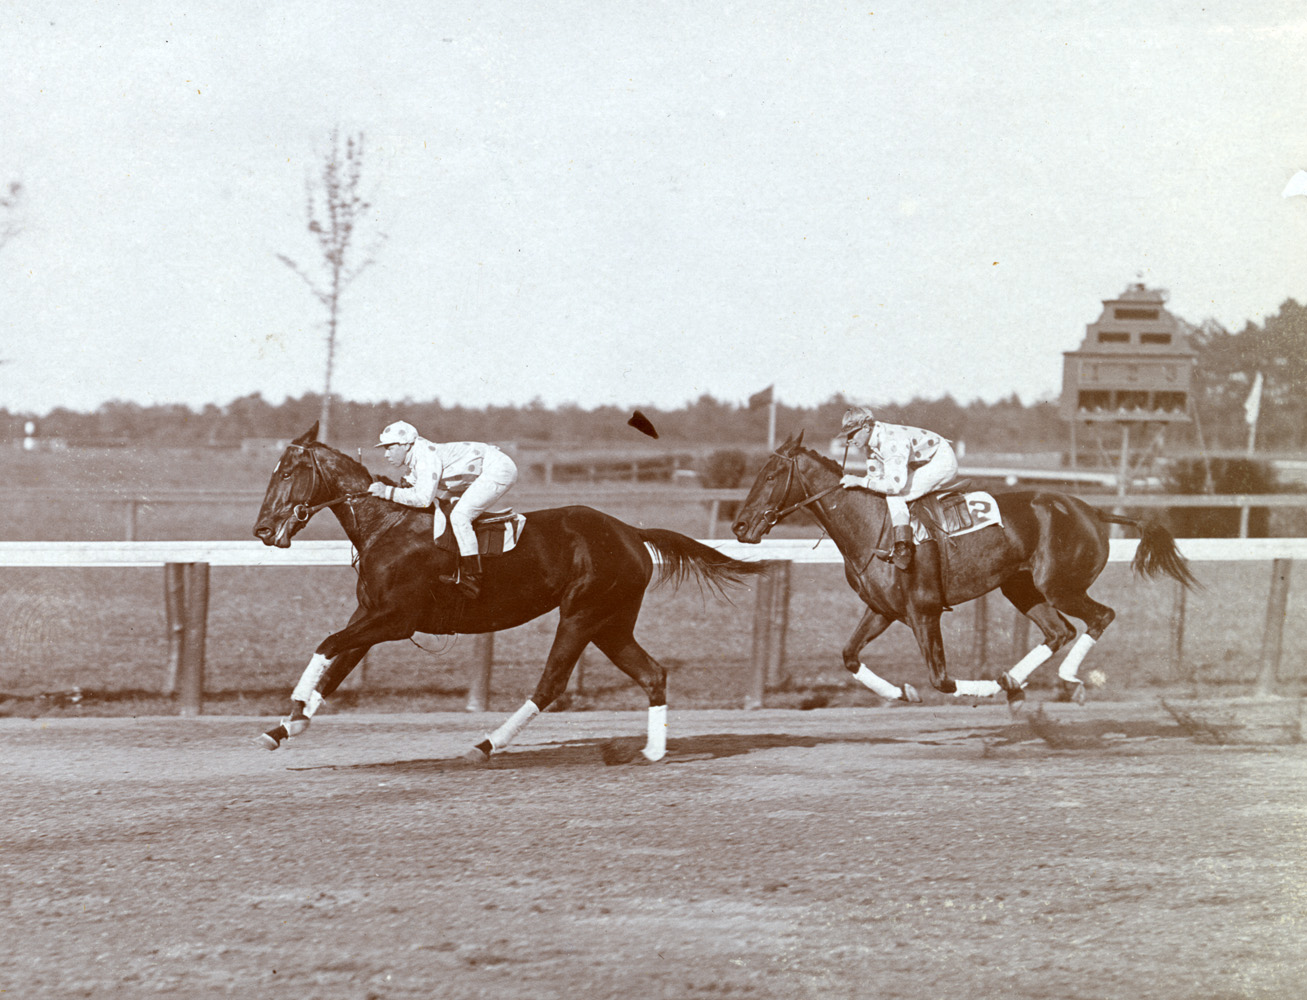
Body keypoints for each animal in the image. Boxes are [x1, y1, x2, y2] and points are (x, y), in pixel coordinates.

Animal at [249, 426, 763, 758]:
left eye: (288, 473)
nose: (262, 530)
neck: (387, 527)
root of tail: (631, 532)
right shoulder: (370, 615)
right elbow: (337, 664)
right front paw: (287, 725)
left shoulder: (397, 620)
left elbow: (327, 646)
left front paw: (296, 703)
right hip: (610, 621)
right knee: (652, 673)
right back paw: (653, 752)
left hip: (581, 613)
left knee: (551, 684)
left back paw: (486, 744)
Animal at [731, 433, 1197, 705]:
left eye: (771, 474)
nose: (739, 526)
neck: (872, 528)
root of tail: (1092, 510)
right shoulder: (882, 609)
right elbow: (849, 656)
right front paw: (901, 691)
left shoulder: (924, 611)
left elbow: (942, 679)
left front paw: (973, 688)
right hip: (1021, 587)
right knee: (1058, 632)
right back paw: (1013, 680)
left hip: (1059, 584)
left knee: (1101, 616)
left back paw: (1064, 678)